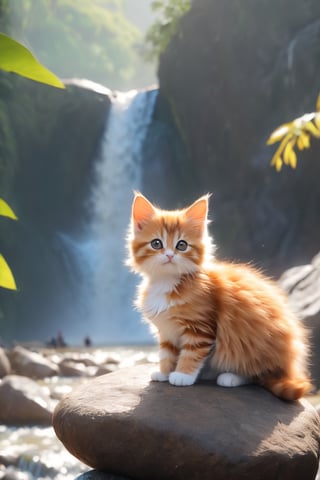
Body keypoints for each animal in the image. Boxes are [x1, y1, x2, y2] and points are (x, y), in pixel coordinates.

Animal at [126, 193, 312, 400]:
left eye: (181, 245)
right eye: (156, 243)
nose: (169, 256)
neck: (167, 281)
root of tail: (289, 366)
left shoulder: (200, 328)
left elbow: (191, 354)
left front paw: (183, 375)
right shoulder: (167, 331)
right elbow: (167, 353)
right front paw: (164, 372)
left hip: (253, 343)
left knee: (258, 374)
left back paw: (230, 377)